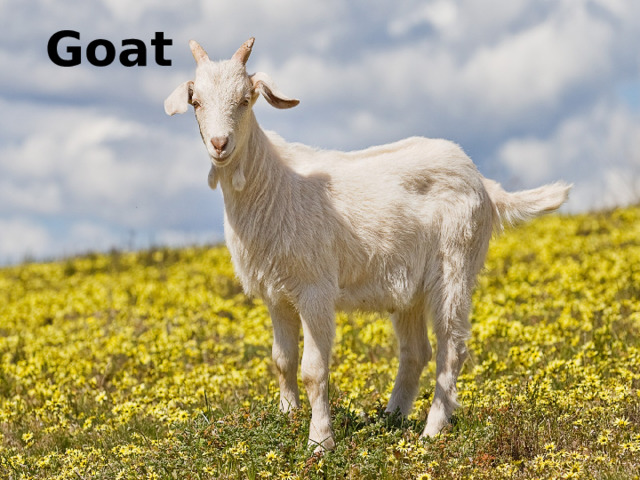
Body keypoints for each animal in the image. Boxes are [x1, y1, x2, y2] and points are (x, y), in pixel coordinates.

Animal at [165, 38, 571, 452]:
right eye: (196, 102)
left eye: (246, 99)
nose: (220, 144)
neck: (275, 182)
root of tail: (484, 184)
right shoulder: (276, 294)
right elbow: (282, 360)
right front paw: (288, 418)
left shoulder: (315, 289)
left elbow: (313, 369)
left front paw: (320, 442)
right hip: (410, 287)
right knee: (415, 352)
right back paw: (391, 419)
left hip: (456, 263)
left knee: (451, 348)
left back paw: (432, 430)